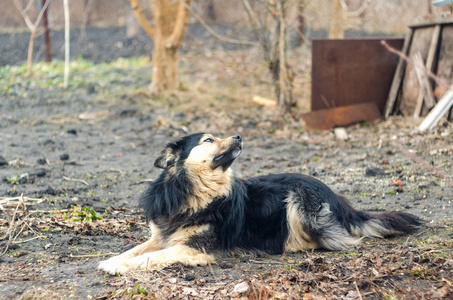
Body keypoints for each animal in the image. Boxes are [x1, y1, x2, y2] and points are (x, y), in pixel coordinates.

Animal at [97, 134, 422, 274]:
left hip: (299, 199)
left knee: (330, 240)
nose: (239, 135)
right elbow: (137, 250)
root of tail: (340, 200)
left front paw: (117, 267)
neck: (195, 192)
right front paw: (113, 259)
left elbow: (151, 257)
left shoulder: (194, 249)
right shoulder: (162, 236)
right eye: (208, 139)